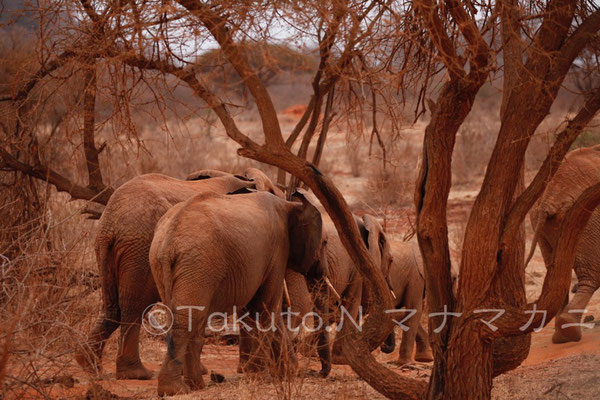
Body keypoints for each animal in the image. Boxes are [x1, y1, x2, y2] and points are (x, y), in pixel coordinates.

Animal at [74, 167, 278, 380]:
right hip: (141, 248)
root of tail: (111, 221)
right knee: (135, 306)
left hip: (108, 248)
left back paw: (89, 364)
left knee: (113, 306)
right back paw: (136, 374)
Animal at [149, 191, 328, 396]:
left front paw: (286, 372)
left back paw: (195, 385)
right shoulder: (278, 252)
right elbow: (265, 307)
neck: (289, 204)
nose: (321, 374)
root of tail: (169, 240)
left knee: (190, 317)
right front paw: (262, 378)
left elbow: (263, 311)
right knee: (187, 318)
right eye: (325, 242)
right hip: (199, 264)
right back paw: (176, 390)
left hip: (168, 264)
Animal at [286, 214, 394, 376]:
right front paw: (342, 358)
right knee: (299, 307)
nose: (385, 348)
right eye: (392, 260)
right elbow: (351, 306)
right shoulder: (356, 271)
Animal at [528, 144, 600, 344]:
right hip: (586, 220)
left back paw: (561, 335)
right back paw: (569, 332)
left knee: (557, 275)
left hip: (543, 224)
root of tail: (549, 199)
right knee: (591, 274)